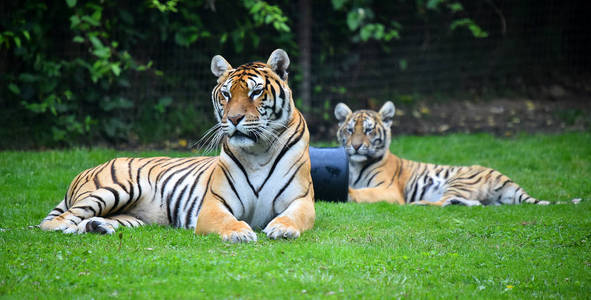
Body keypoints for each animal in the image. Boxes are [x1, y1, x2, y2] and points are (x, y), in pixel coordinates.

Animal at [39, 48, 316, 241]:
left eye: (255, 92)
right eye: (226, 94)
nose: (234, 119)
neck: (258, 150)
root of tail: (90, 168)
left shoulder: (301, 199)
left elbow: (293, 216)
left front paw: (282, 228)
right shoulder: (214, 204)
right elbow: (227, 221)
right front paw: (240, 232)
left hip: (130, 216)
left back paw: (96, 226)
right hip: (116, 189)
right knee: (52, 221)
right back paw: (69, 227)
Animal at [336, 101, 580, 206]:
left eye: (369, 130)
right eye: (350, 130)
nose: (356, 147)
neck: (356, 165)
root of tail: (508, 180)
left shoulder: (388, 190)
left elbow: (366, 193)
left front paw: (350, 194)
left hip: (459, 180)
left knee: (442, 203)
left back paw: (420, 204)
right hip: (490, 200)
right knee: (472, 204)